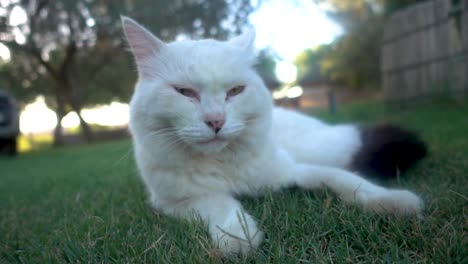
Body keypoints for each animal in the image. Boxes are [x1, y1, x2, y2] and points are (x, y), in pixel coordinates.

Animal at [120, 17, 424, 256]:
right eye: (184, 92)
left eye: (235, 91)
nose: (216, 121)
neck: (224, 163)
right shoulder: (179, 202)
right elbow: (222, 204)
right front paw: (238, 237)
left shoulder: (294, 171)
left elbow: (348, 181)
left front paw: (394, 201)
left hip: (324, 148)